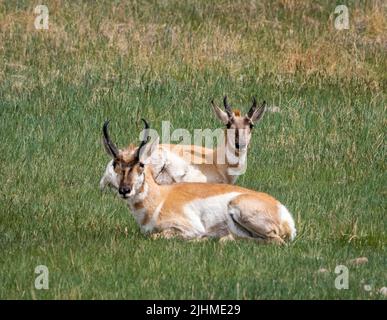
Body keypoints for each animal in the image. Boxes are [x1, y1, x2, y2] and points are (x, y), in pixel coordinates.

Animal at [101, 119, 296, 242]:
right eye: (115, 164)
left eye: (141, 164)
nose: (125, 190)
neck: (160, 198)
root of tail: (283, 212)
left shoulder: (188, 228)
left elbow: (157, 236)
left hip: (239, 208)